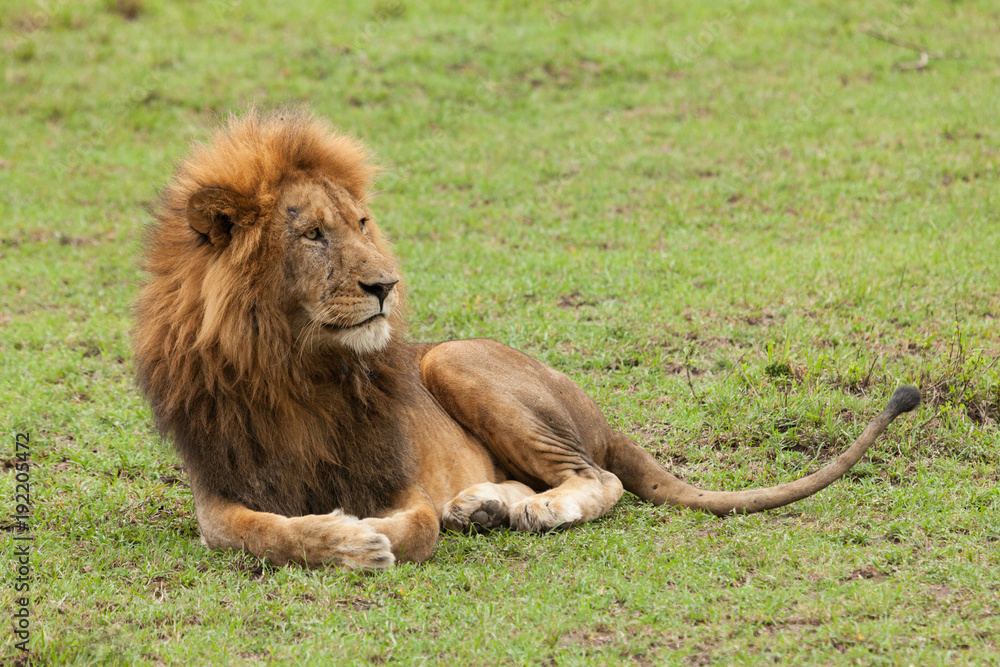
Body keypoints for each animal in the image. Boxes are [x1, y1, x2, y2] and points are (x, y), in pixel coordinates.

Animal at [132, 108, 921, 569]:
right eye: (313, 235)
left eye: (360, 224)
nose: (386, 284)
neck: (293, 368)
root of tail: (605, 419)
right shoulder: (219, 494)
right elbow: (257, 532)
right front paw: (340, 538)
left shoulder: (399, 481)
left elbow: (415, 527)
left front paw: (367, 539)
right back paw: (487, 506)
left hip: (457, 361)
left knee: (598, 477)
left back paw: (528, 509)